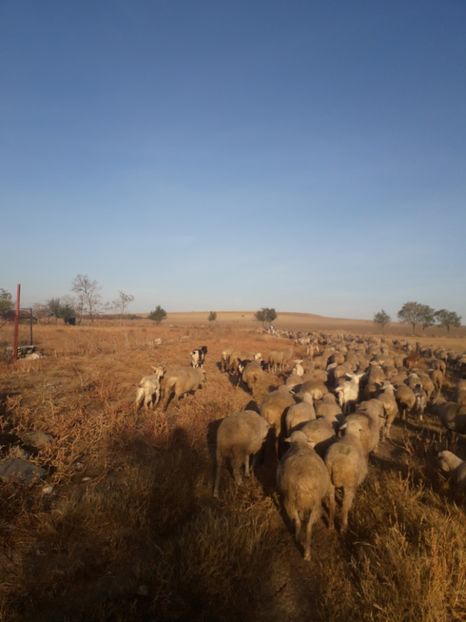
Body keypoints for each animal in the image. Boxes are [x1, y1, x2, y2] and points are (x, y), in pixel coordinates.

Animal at [276, 432, 332, 564]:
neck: (300, 444)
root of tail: (304, 483)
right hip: (314, 505)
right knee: (308, 526)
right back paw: (306, 552)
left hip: (290, 501)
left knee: (298, 522)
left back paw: (298, 539)